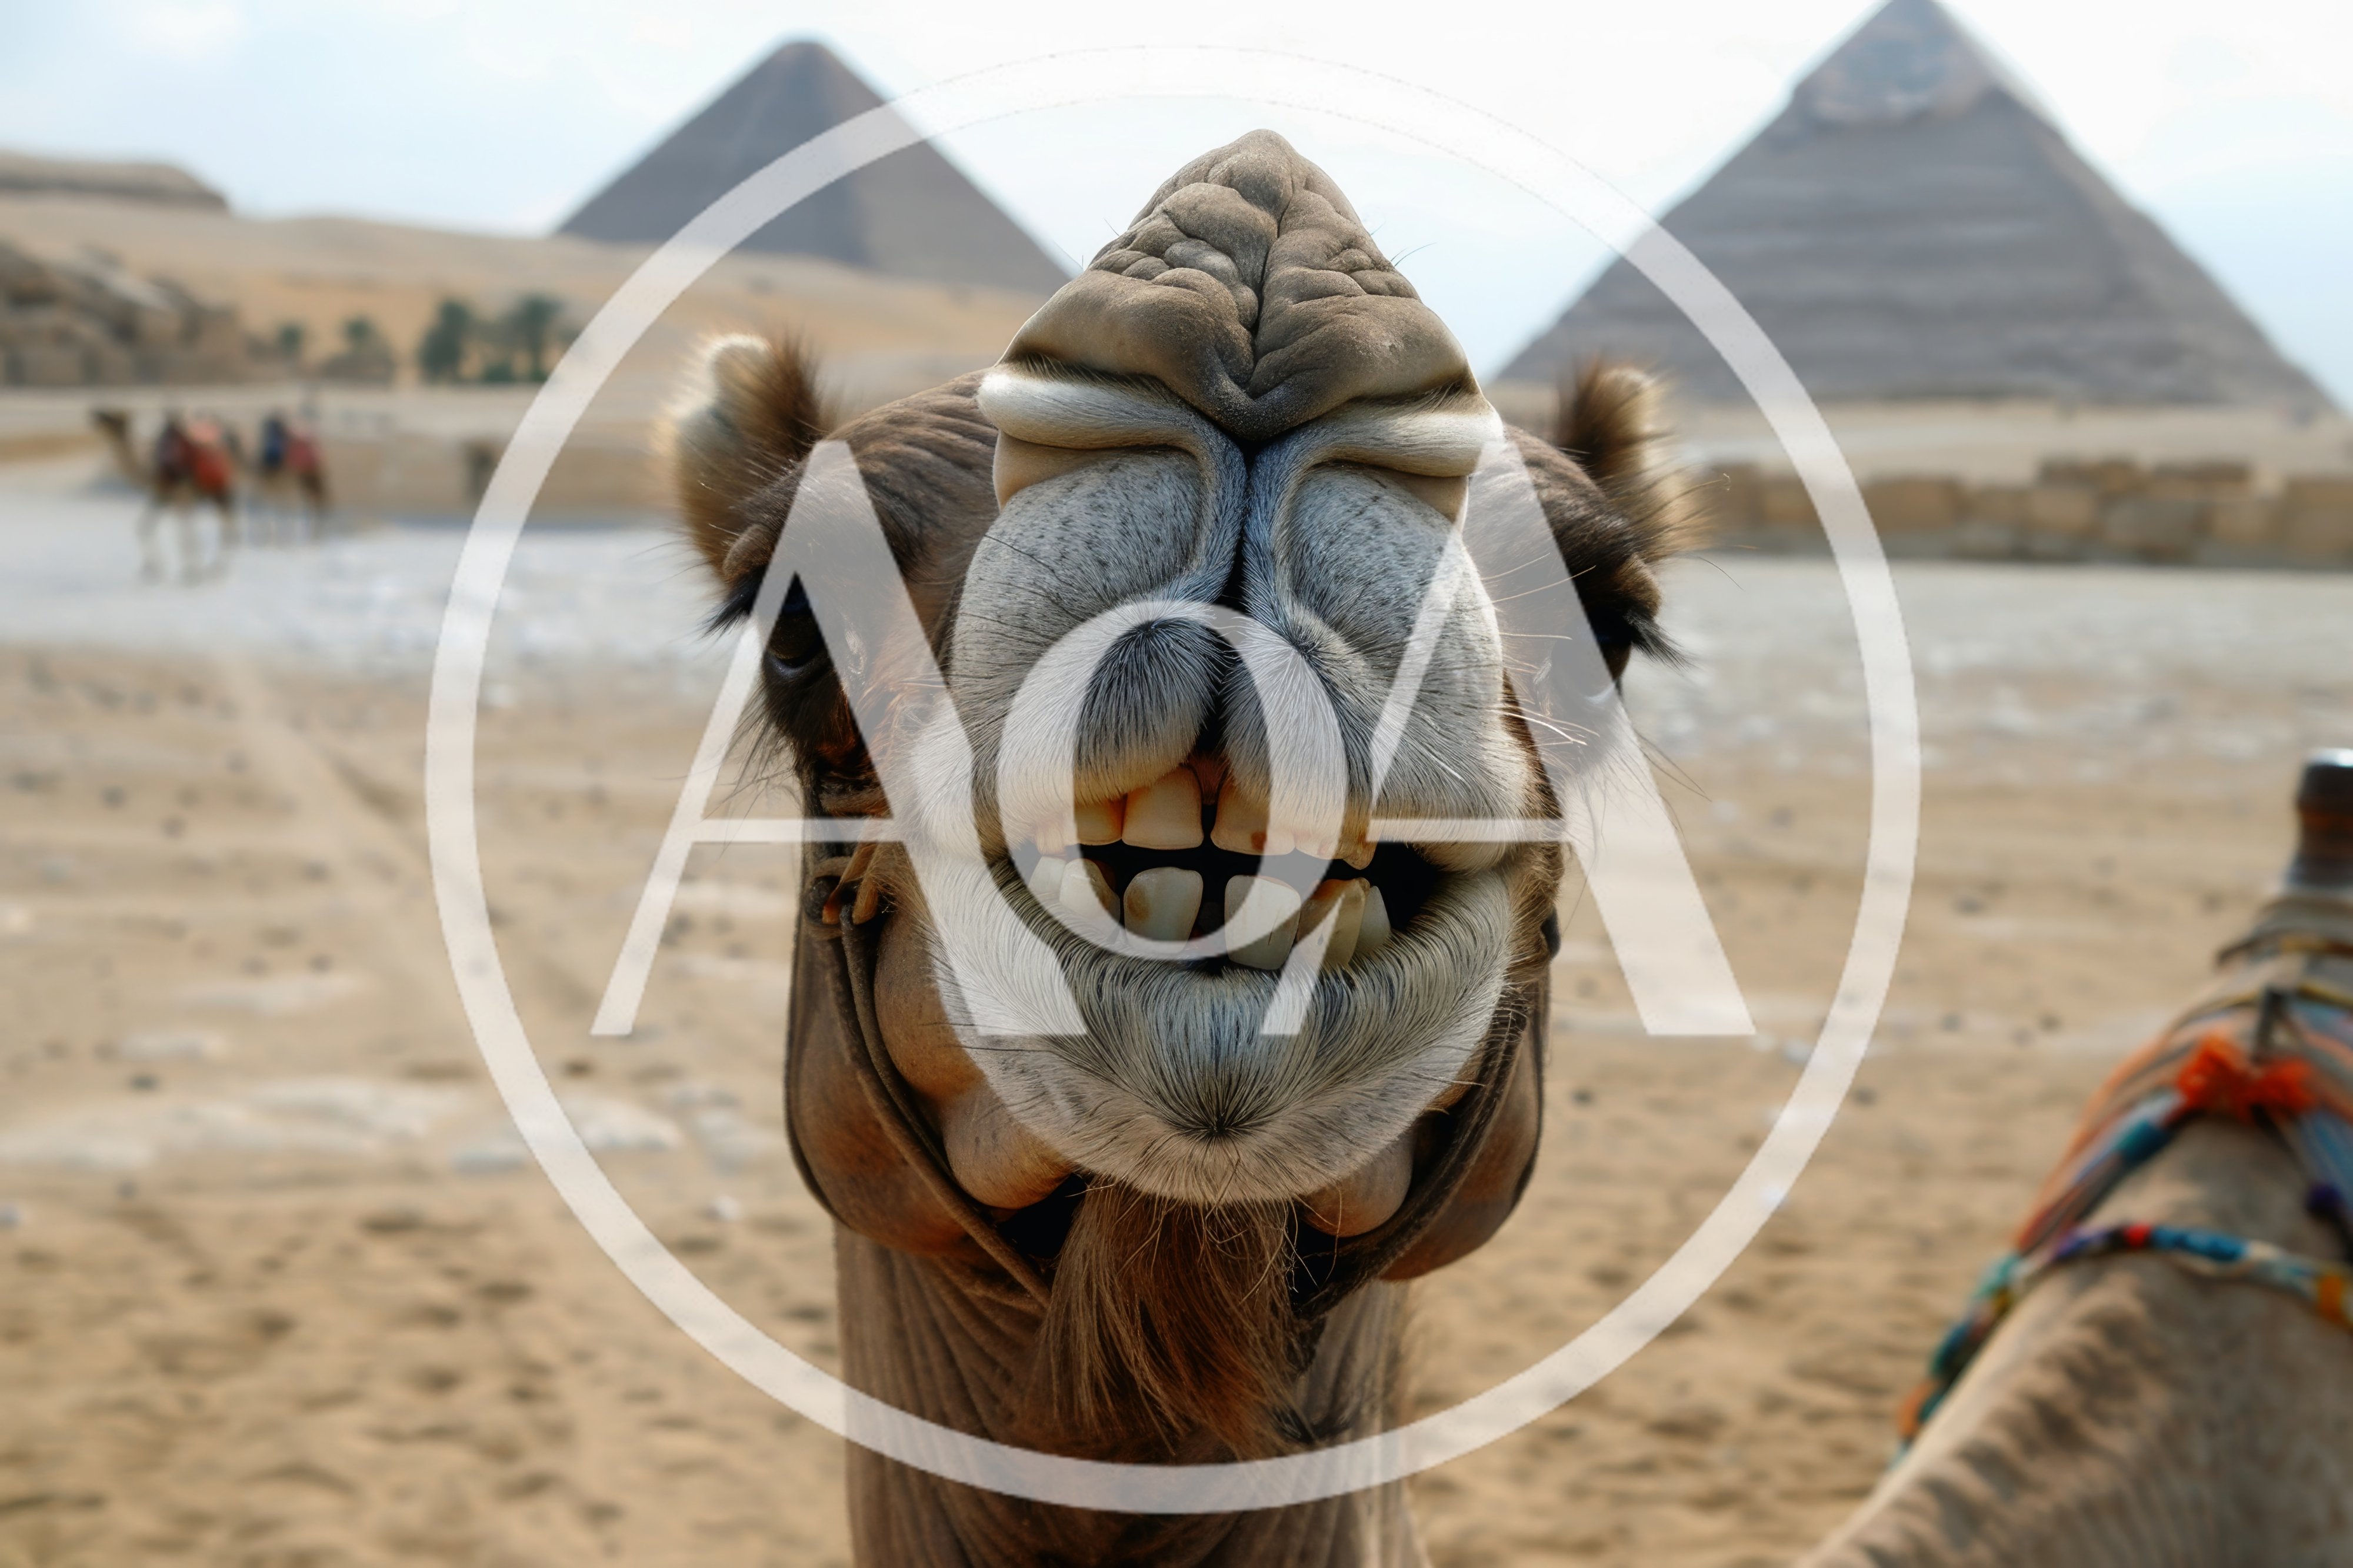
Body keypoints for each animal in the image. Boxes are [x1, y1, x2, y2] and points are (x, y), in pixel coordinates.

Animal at [92, 407, 238, 582]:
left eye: (112, 418)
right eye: (106, 414)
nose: (94, 414)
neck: (152, 472)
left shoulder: (182, 495)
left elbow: (186, 537)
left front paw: (192, 576)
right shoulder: (161, 495)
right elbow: (144, 528)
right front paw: (152, 570)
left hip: (223, 488)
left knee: (229, 526)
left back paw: (219, 568)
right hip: (213, 492)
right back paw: (217, 567)